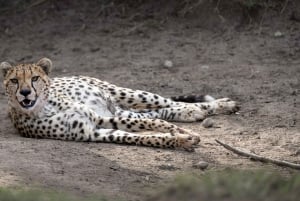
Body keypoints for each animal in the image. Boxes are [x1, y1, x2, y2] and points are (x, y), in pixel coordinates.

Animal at [0, 58, 239, 151]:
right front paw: (180, 140)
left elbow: (158, 126)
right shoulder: (94, 130)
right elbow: (144, 134)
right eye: (14, 81)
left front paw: (183, 134)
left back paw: (217, 105)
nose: (25, 92)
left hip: (126, 93)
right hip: (120, 108)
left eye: (34, 78)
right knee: (156, 113)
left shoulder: (99, 117)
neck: (44, 106)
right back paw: (194, 112)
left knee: (166, 103)